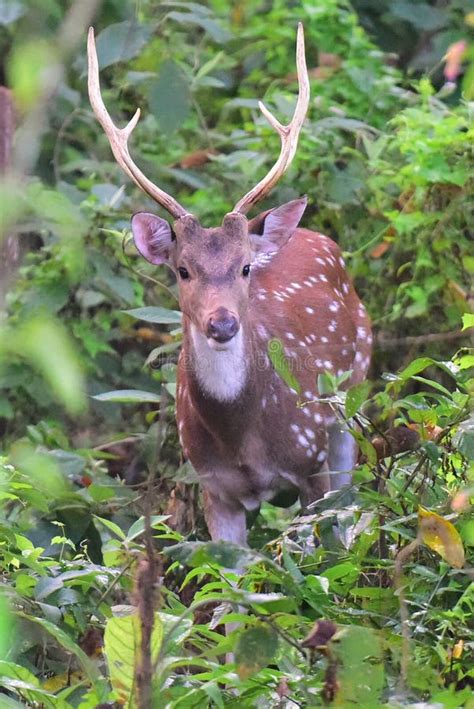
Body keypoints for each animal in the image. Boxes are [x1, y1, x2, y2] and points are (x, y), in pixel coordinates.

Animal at [88, 22, 370, 544]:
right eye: (182, 270)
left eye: (244, 267)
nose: (221, 324)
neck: (244, 439)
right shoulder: (213, 487)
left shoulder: (310, 459)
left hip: (351, 394)